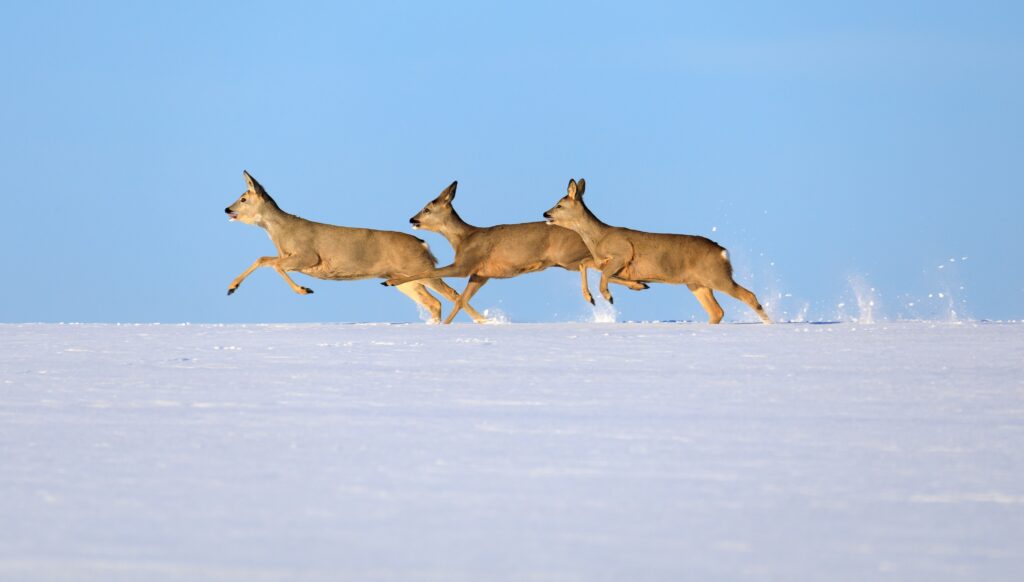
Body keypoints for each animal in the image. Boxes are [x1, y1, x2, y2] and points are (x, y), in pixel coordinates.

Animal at [224, 170, 479, 323]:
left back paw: (480, 321)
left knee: (451, 293)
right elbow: (264, 259)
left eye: (243, 199)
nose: (227, 209)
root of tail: (423, 244)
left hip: (420, 268)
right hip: (404, 278)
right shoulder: (292, 257)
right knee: (433, 302)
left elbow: (272, 264)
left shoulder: (308, 256)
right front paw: (231, 287)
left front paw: (304, 290)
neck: (281, 233)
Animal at [380, 180, 651, 323]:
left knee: (596, 265)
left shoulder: (466, 264)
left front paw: (391, 281)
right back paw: (636, 285)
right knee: (605, 268)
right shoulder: (481, 275)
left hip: (567, 256)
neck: (463, 239)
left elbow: (432, 275)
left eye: (427, 208)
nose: (412, 219)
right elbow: (460, 300)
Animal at [544, 178, 770, 323]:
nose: (545, 213)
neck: (599, 238)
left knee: (748, 296)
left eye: (559, 205)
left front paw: (607, 297)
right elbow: (589, 266)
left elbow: (603, 276)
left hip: (717, 276)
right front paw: (636, 286)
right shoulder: (608, 263)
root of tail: (722, 251)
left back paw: (769, 323)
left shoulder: (622, 253)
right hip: (697, 284)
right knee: (717, 312)